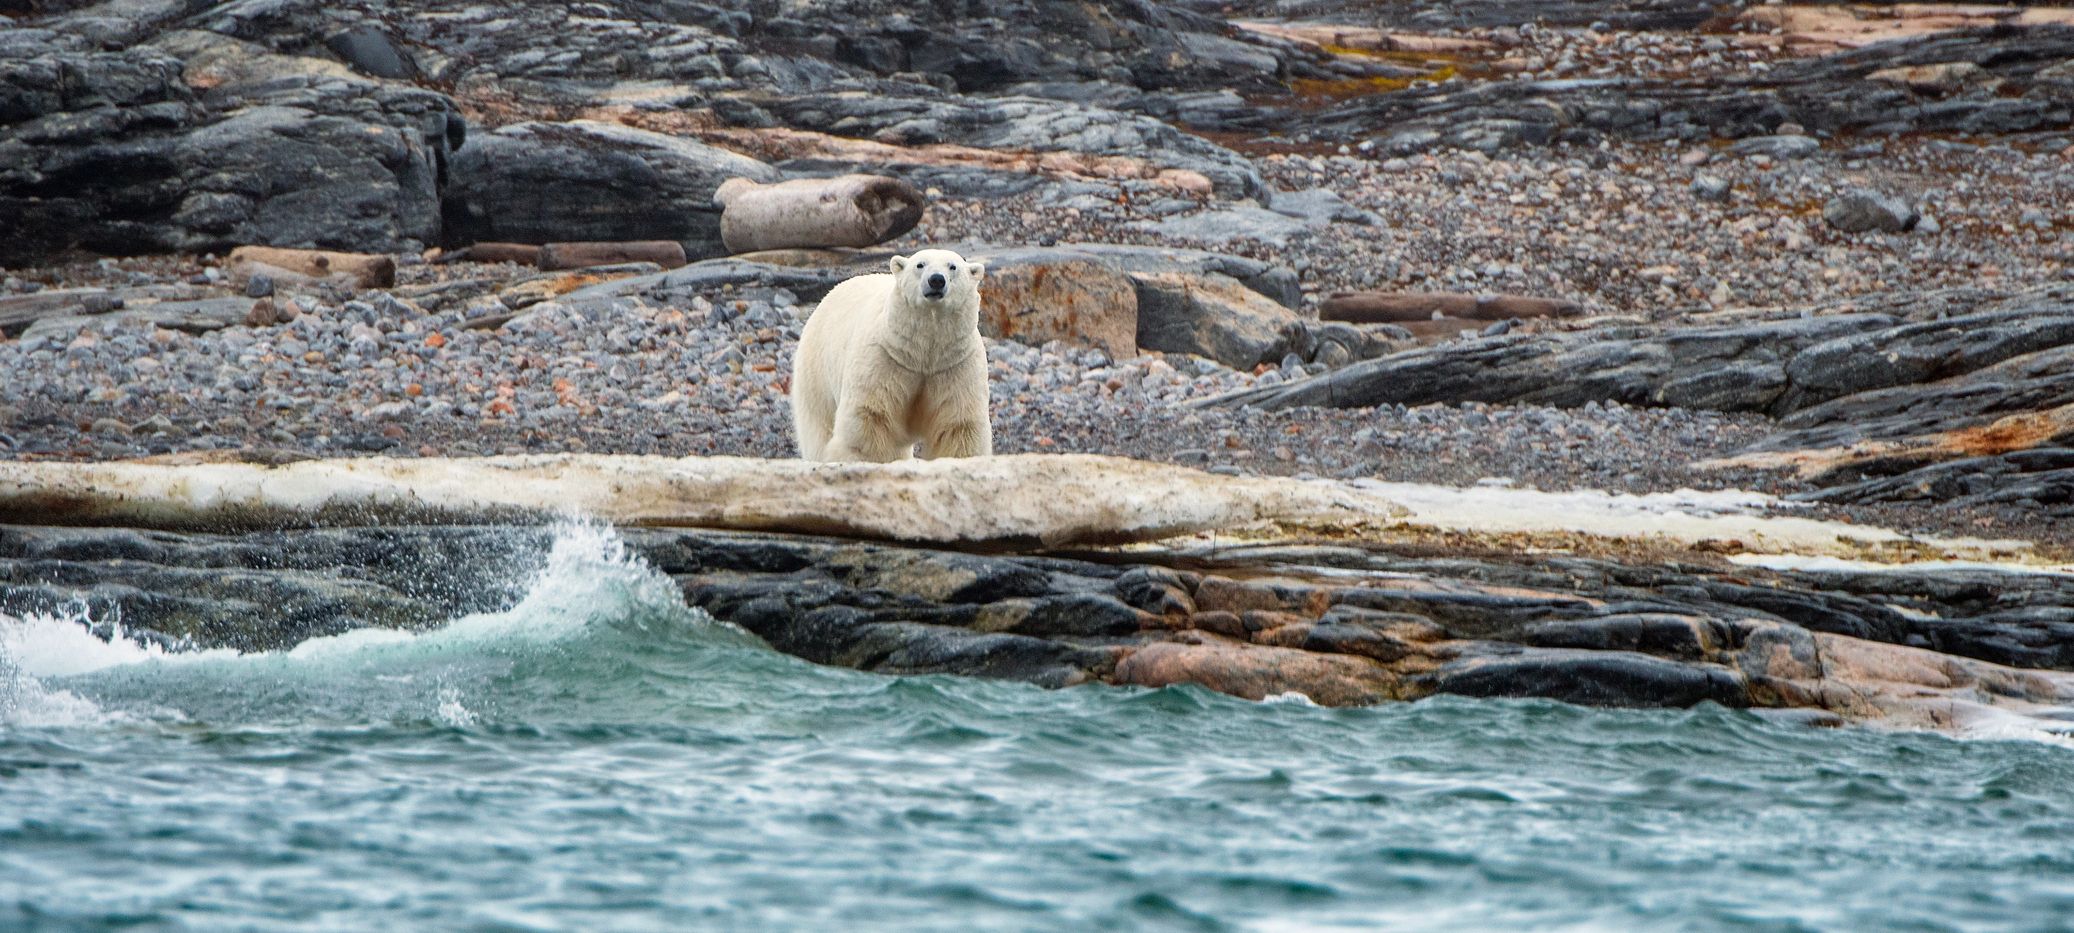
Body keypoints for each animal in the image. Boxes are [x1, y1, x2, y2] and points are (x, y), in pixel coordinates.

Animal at [789, 248, 992, 462]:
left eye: (952, 266)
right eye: (920, 264)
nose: (936, 280)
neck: (923, 353)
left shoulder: (955, 364)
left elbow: (957, 423)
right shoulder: (885, 357)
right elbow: (873, 413)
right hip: (816, 370)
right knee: (819, 425)